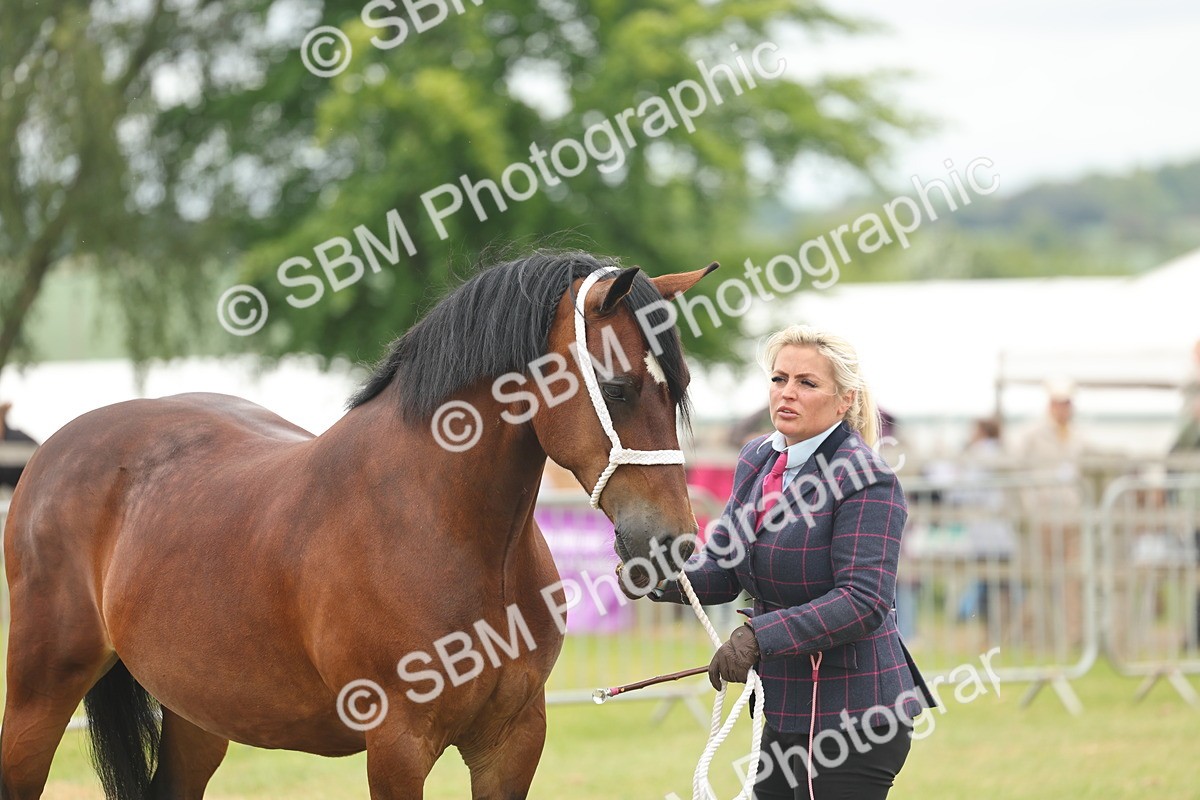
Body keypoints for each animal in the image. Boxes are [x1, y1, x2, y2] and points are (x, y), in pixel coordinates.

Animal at [0, 250, 717, 800]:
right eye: (617, 387)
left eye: (681, 385)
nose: (671, 543)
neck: (444, 527)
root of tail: (53, 452)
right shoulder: (398, 745)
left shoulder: (512, 740)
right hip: (40, 693)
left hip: (198, 711)